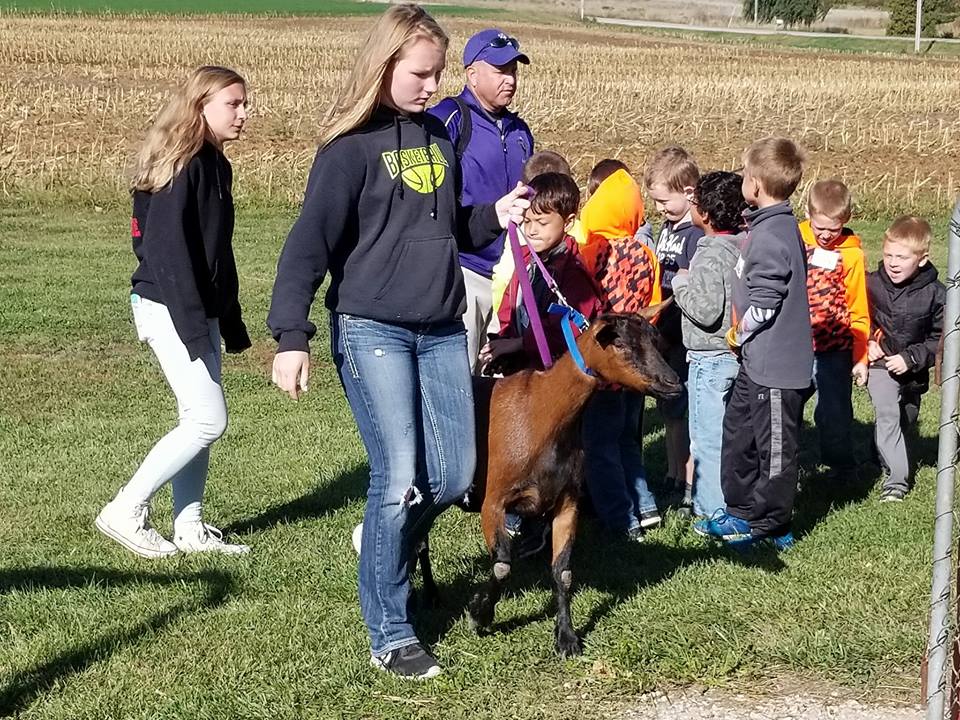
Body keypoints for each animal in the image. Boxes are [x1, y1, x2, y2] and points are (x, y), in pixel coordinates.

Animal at [420, 306, 684, 656]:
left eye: (656, 342)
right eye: (621, 345)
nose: (673, 383)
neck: (540, 413)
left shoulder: (567, 503)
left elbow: (563, 572)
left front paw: (567, 637)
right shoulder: (494, 501)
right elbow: (502, 565)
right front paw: (479, 614)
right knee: (417, 539)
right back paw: (428, 596)